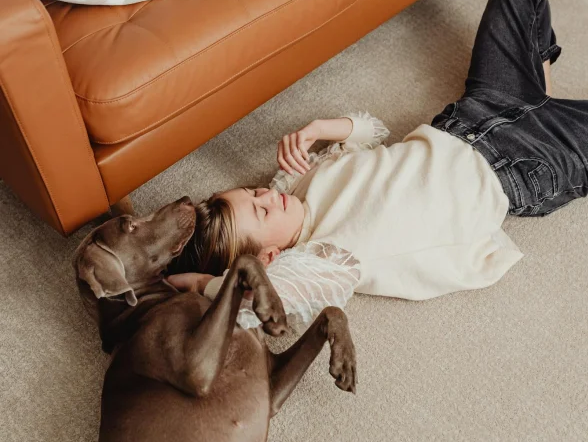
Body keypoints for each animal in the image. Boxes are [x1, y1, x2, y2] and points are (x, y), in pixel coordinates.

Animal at [74, 198, 358, 442]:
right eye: (131, 227)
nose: (186, 200)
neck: (148, 301)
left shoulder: (271, 388)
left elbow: (333, 310)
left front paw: (345, 361)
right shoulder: (194, 369)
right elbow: (245, 258)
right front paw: (271, 305)